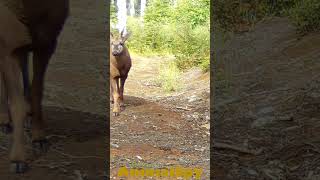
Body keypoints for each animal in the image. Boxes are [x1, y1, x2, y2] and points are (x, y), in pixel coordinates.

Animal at [0, 0, 69, 174]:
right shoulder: (8, 48)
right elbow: (17, 104)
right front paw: (17, 159)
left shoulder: (46, 45)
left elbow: (37, 91)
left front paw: (39, 138)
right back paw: (4, 121)